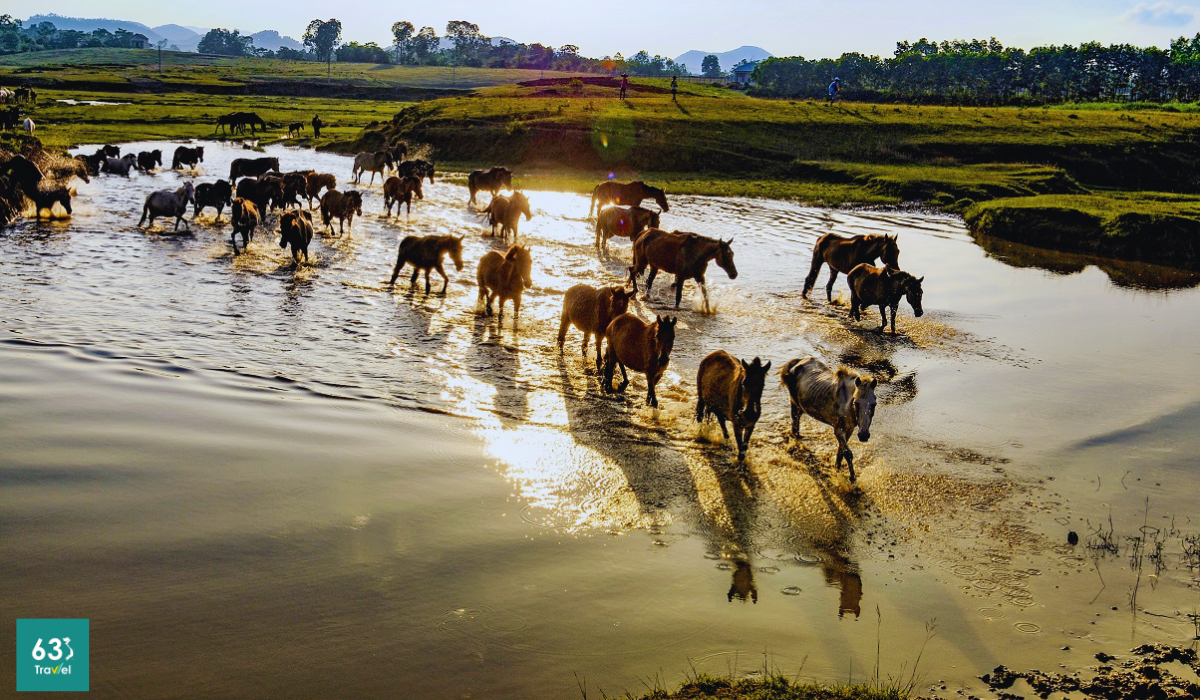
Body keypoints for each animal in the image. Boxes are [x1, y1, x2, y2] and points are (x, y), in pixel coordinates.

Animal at [782, 357, 878, 485]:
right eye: (856, 403)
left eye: (874, 404)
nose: (864, 435)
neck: (846, 404)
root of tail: (797, 362)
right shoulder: (838, 430)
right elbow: (847, 453)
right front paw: (852, 478)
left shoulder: (849, 430)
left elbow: (841, 451)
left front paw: (837, 468)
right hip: (794, 404)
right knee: (795, 424)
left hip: (801, 407)